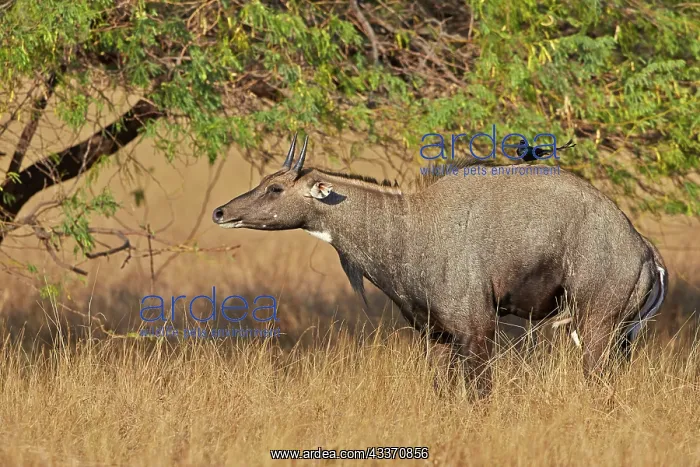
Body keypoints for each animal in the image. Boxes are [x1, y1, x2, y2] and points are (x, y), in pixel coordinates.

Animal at [213, 134, 668, 395]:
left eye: (275, 188)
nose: (220, 212)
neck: (411, 226)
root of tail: (645, 250)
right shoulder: (436, 335)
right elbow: (443, 393)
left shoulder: (477, 329)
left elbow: (480, 395)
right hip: (616, 337)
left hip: (596, 330)